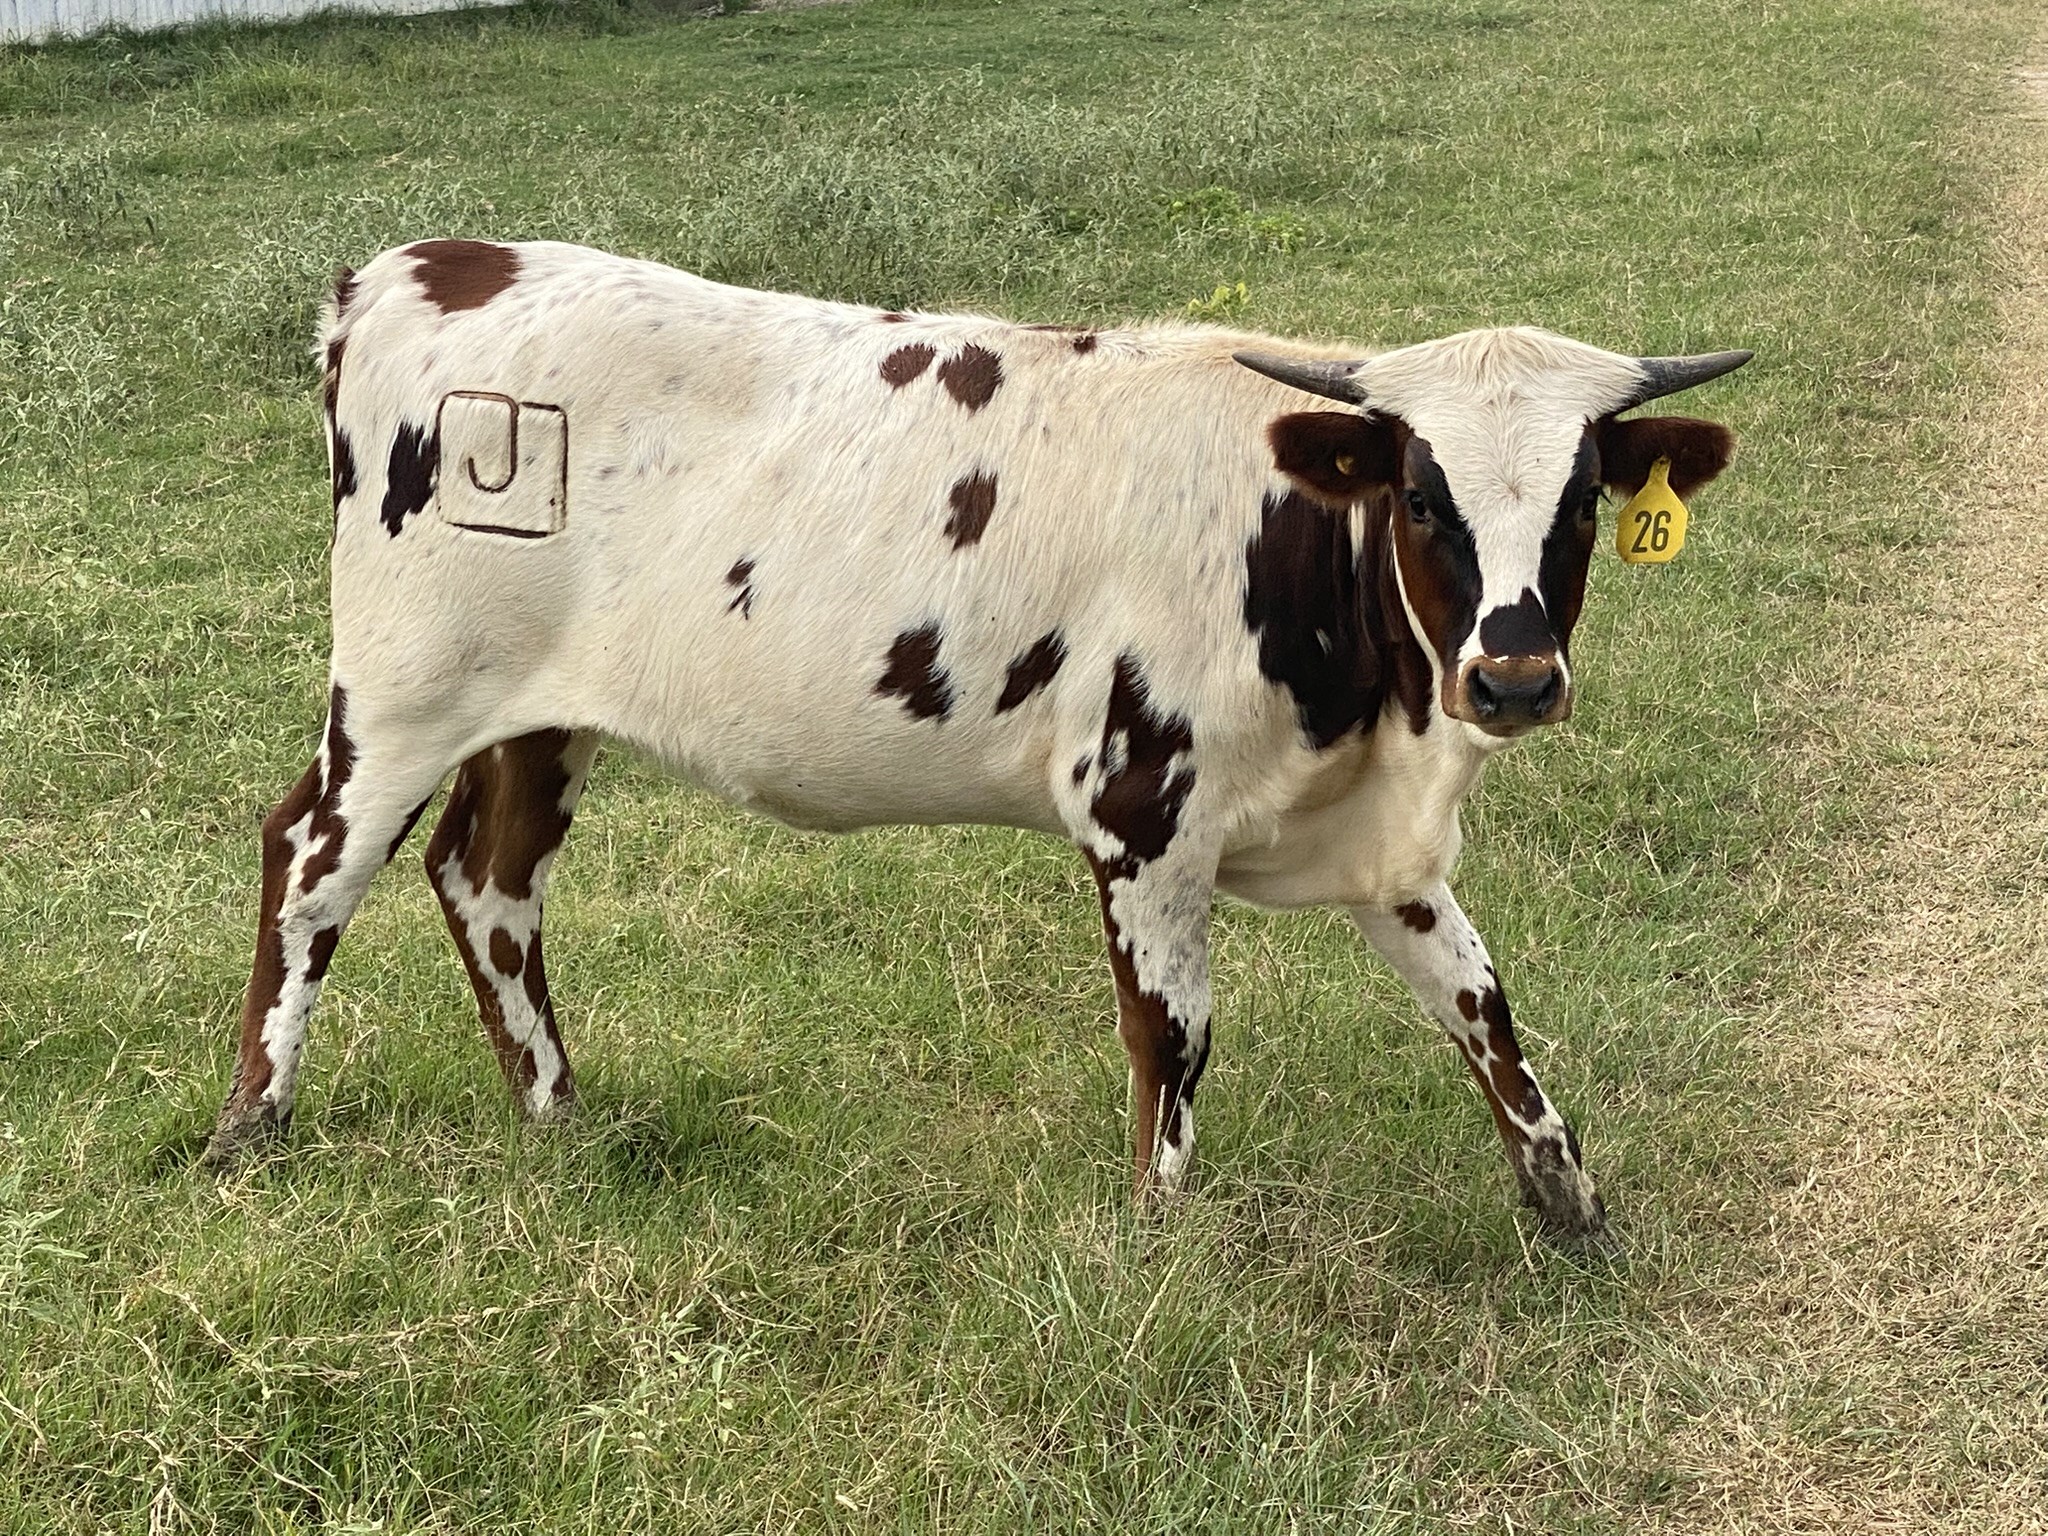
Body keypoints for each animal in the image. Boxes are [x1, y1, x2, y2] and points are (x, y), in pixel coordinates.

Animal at [202, 238, 1748, 1250]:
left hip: (539, 717)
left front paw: (1570, 1207)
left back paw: (559, 1117)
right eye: (1421, 497)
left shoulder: (1379, 843)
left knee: (489, 879)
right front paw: (1157, 1241)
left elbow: (1486, 1009)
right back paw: (249, 1130)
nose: (1513, 672)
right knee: (313, 864)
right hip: (401, 695)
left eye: (1581, 502)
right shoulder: (1142, 816)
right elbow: (1173, 1037)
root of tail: (417, 267)